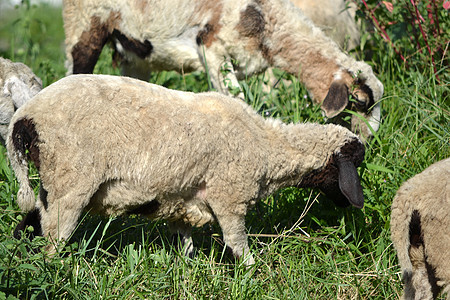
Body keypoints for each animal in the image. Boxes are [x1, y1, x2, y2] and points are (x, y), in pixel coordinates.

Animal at [7, 74, 366, 264]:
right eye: (354, 162)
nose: (355, 204)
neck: (266, 146)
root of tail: (24, 118)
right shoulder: (228, 196)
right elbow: (237, 243)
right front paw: (255, 272)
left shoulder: (180, 200)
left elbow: (186, 240)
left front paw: (186, 266)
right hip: (71, 181)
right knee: (54, 238)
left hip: (51, 183)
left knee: (31, 224)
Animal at [61, 0, 382, 139]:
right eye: (359, 101)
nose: (370, 141)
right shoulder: (212, 48)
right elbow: (236, 103)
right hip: (83, 24)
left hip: (134, 52)